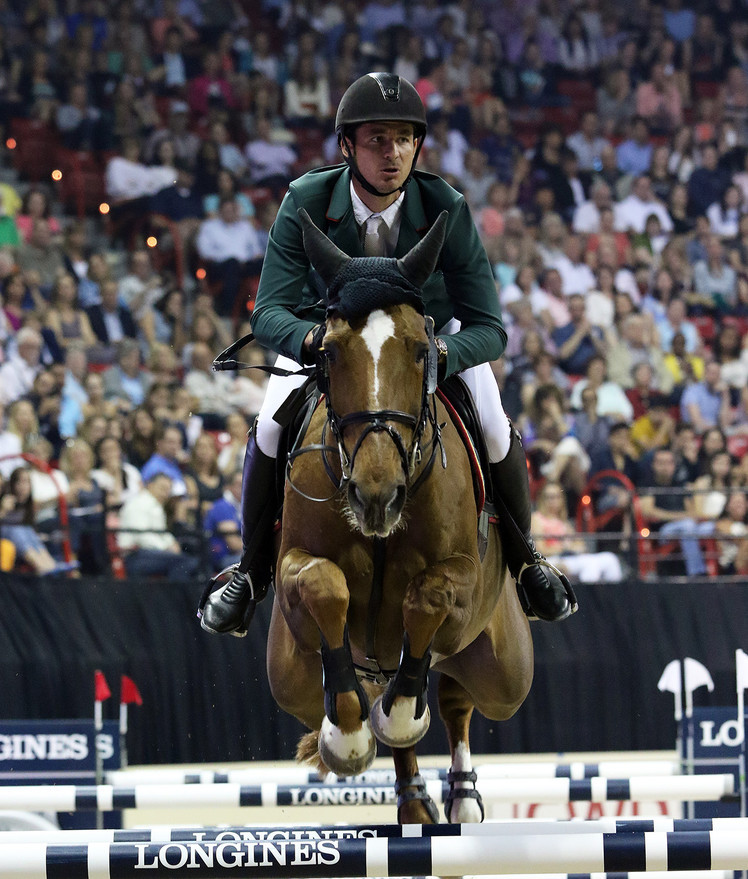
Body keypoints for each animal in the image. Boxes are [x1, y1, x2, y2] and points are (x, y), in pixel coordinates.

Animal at [266, 211, 536, 824]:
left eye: (419, 351)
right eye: (329, 352)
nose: (376, 497)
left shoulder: (461, 579)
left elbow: (427, 599)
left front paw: (400, 714)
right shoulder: (296, 566)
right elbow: (324, 585)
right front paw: (347, 736)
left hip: (505, 669)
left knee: (457, 692)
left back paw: (460, 795)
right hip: (289, 674)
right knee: (358, 689)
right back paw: (410, 794)